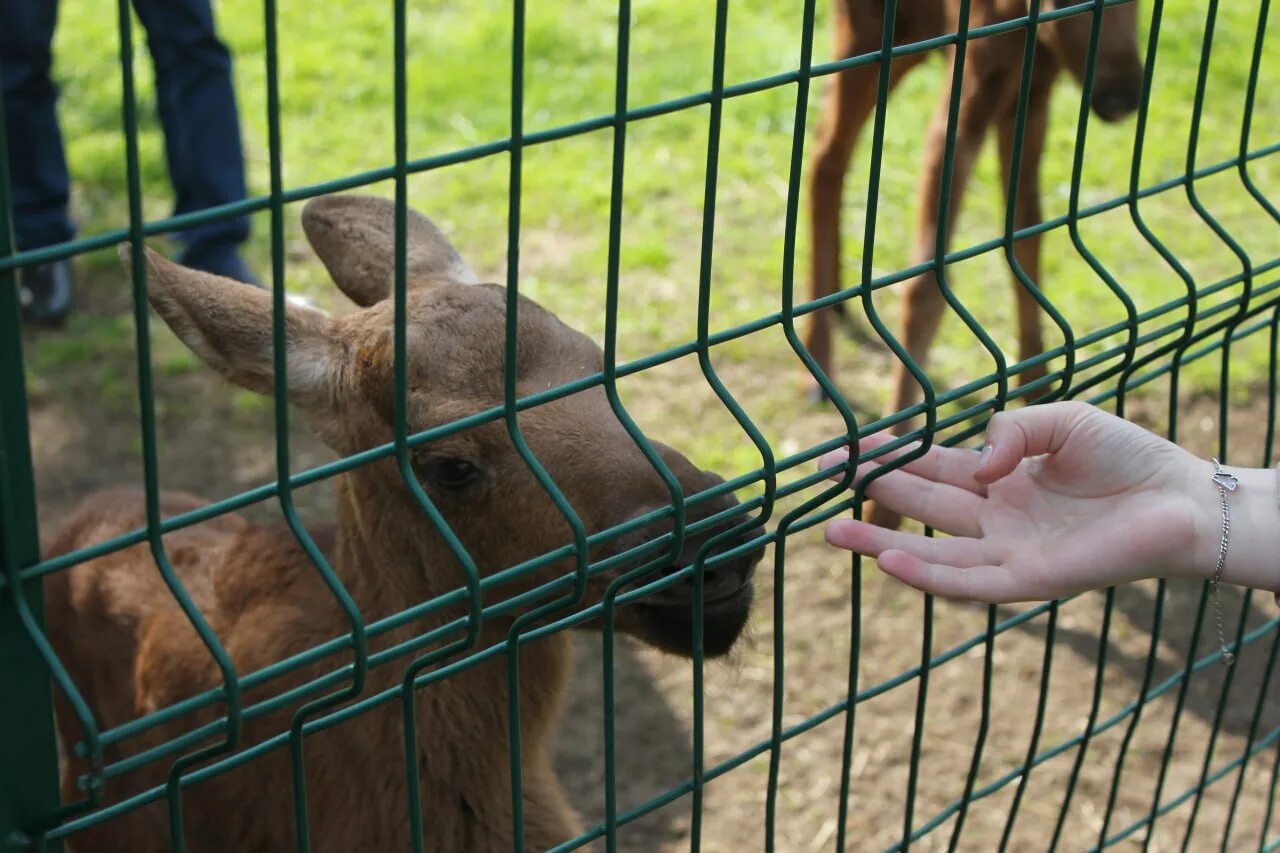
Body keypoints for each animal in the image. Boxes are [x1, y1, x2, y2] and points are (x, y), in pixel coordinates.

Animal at [803, 1, 1146, 517]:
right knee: (824, 153)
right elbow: (927, 280)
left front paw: (1041, 386)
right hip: (870, 31)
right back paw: (819, 356)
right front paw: (889, 489)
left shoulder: (1032, 95)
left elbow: (1027, 232)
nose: (1121, 99)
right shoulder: (973, 87)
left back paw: (838, 304)